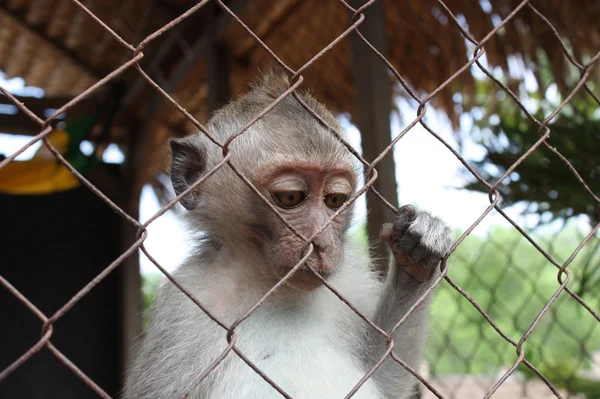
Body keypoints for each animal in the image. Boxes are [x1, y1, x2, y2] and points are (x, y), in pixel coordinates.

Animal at [124, 72, 452, 399]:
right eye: (291, 196)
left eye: (335, 199)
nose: (321, 244)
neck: (271, 286)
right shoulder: (186, 304)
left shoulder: (347, 282)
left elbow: (382, 371)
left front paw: (417, 256)